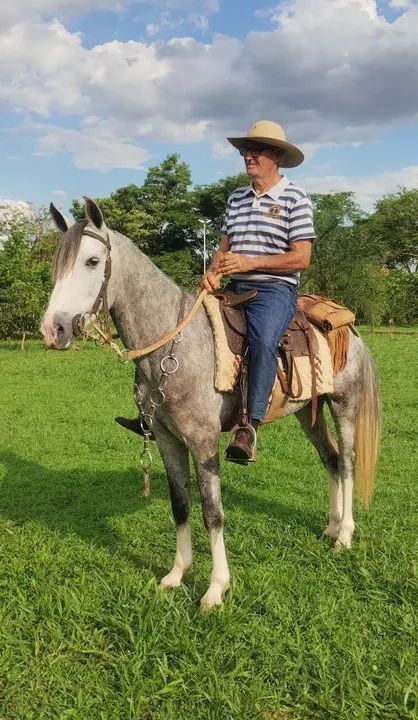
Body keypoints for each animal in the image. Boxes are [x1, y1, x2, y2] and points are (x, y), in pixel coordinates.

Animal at [41, 197, 381, 610]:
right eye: (57, 263)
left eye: (92, 261)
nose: (52, 329)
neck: (172, 345)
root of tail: (351, 328)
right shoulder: (168, 441)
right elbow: (181, 505)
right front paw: (176, 574)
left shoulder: (203, 442)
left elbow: (212, 512)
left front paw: (216, 587)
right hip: (307, 412)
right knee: (329, 459)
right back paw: (330, 528)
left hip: (344, 404)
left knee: (346, 462)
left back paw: (345, 535)